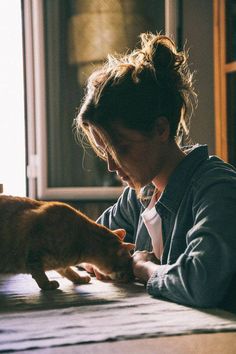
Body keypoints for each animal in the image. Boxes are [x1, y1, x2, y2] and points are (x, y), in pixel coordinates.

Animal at [0, 196, 134, 290]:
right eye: (128, 264)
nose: (131, 278)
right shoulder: (34, 255)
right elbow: (40, 275)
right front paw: (47, 285)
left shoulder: (60, 263)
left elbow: (70, 272)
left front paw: (80, 278)